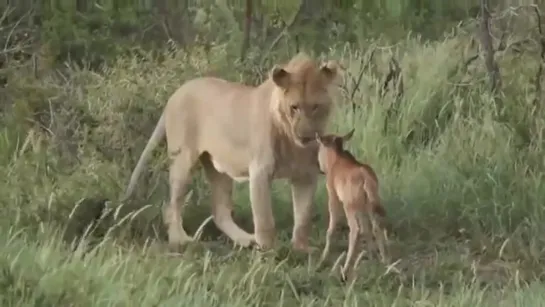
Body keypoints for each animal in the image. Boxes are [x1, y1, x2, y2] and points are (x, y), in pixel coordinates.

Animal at [123, 53, 340, 253]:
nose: (306, 136)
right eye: (294, 107)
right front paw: (269, 250)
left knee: (219, 212)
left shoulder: (305, 175)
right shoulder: (260, 171)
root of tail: (176, 93)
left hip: (219, 169)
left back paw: (246, 240)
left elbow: (303, 217)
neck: (292, 141)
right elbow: (265, 218)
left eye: (315, 107)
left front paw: (300, 249)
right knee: (171, 206)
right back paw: (181, 240)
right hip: (182, 160)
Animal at [314, 129, 386, 282]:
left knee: (355, 230)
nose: (320, 168)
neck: (335, 159)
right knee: (376, 228)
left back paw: (345, 270)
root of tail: (366, 177)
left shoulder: (333, 197)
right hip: (369, 205)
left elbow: (331, 228)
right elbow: (367, 230)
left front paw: (323, 257)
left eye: (319, 147)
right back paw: (384, 261)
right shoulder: (362, 207)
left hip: (349, 206)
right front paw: (372, 256)